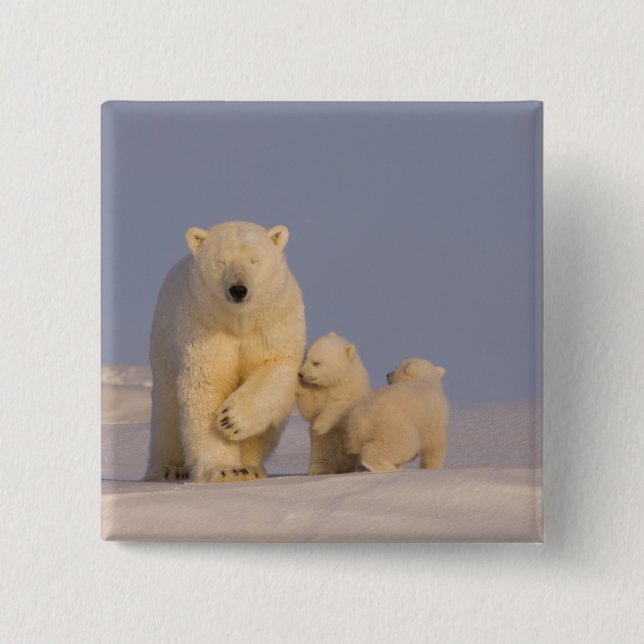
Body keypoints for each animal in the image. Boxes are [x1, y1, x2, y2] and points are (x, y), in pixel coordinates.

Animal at [145, 220, 306, 484]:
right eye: (220, 261)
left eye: (254, 260)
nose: (238, 289)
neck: (237, 322)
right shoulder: (204, 326)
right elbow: (208, 384)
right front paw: (226, 470)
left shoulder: (274, 321)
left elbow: (276, 365)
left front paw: (231, 420)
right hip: (163, 348)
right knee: (166, 415)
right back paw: (168, 469)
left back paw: (252, 467)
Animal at [296, 333, 371, 475]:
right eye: (307, 358)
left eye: (316, 363)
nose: (300, 374)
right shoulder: (319, 392)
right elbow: (310, 407)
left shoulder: (353, 393)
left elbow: (341, 407)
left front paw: (318, 426)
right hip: (321, 446)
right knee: (322, 456)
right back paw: (319, 470)